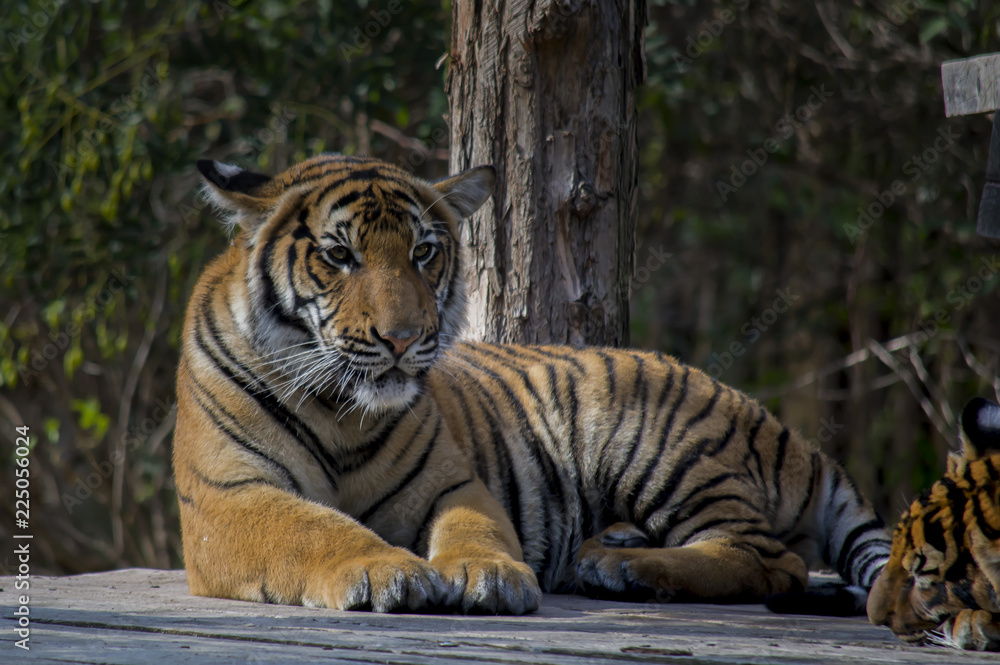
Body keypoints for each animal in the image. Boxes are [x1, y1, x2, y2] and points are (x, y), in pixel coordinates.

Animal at [173, 152, 891, 615]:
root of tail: (779, 426)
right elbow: (313, 527)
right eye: (339, 255)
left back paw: (623, 568)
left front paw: (490, 575)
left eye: (424, 252)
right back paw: (613, 552)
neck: (341, 409)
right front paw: (383, 567)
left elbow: (475, 526)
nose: (403, 338)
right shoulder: (229, 498)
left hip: (654, 445)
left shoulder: (452, 481)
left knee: (768, 557)